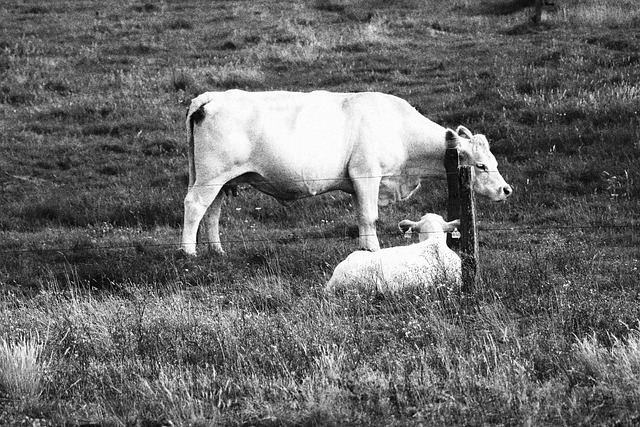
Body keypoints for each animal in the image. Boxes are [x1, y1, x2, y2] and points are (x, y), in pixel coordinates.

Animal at [182, 90, 512, 256]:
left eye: (494, 161)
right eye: (481, 166)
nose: (506, 189)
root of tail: (213, 95)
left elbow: (362, 218)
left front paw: (364, 249)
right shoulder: (367, 175)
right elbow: (369, 217)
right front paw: (373, 250)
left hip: (219, 179)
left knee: (211, 212)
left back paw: (218, 251)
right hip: (212, 176)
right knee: (195, 206)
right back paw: (189, 252)